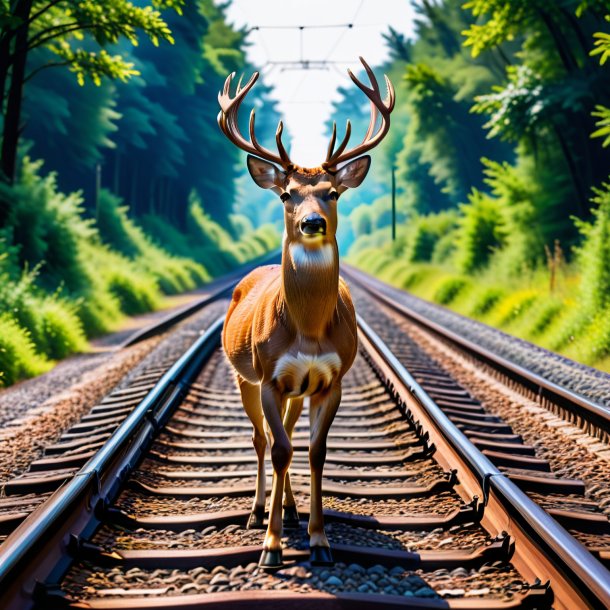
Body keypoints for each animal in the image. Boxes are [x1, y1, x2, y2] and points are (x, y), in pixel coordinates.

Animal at [218, 57, 394, 568]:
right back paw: (258, 512)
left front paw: (319, 541)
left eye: (333, 192)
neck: (310, 329)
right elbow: (278, 450)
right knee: (262, 440)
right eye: (286, 194)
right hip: (244, 374)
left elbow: (314, 451)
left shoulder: (331, 379)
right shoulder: (269, 375)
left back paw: (293, 512)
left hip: (297, 389)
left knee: (291, 439)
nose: (311, 223)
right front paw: (270, 547)